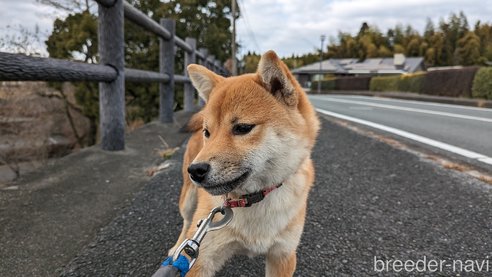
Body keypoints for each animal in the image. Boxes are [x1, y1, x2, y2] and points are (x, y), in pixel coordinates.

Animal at [171, 50, 320, 274]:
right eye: (208, 132)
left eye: (242, 128)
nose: (196, 170)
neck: (253, 199)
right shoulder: (201, 257)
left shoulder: (283, 255)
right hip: (188, 199)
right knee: (187, 222)